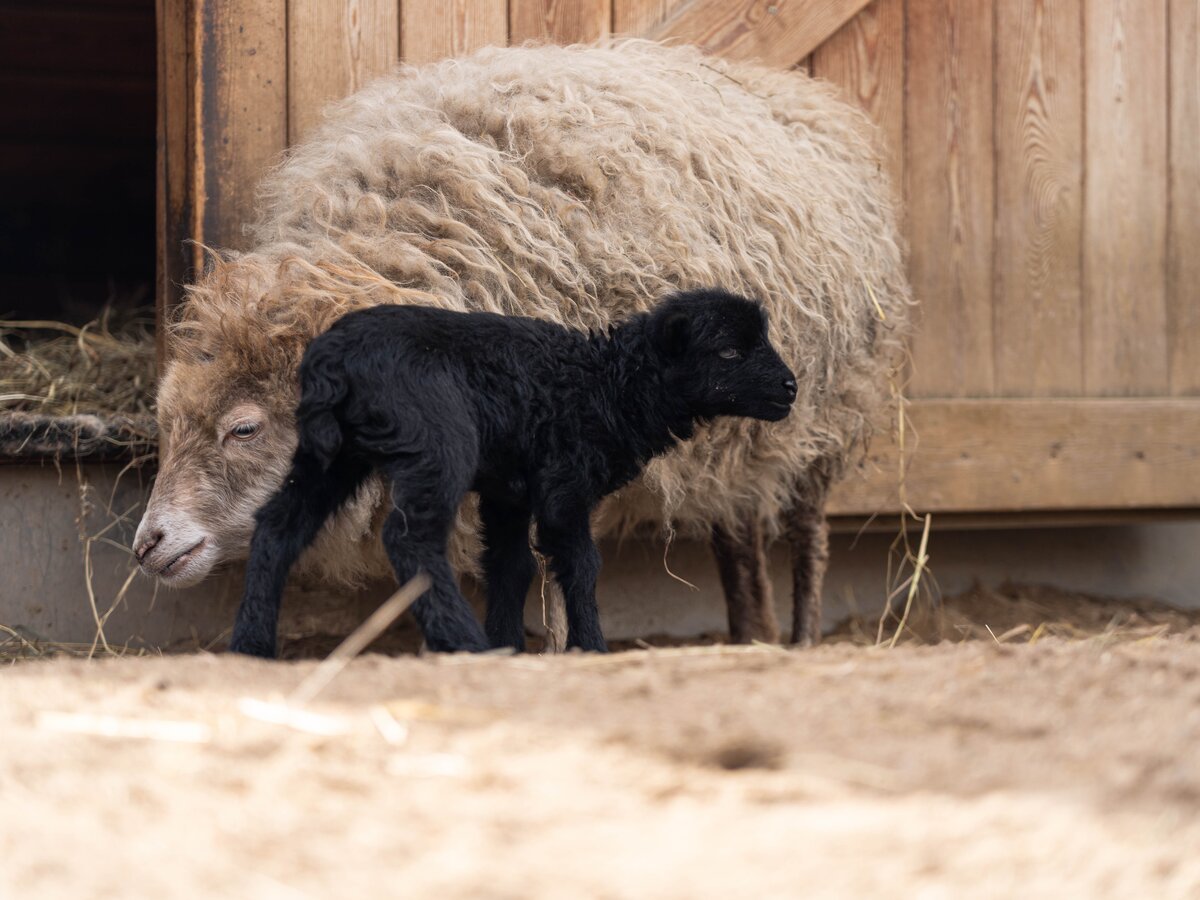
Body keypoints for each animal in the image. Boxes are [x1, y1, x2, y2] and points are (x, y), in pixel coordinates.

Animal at [230, 292, 801, 657]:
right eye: (729, 350)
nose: (791, 387)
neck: (608, 386)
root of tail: (331, 360)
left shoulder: (510, 492)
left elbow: (511, 565)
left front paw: (510, 641)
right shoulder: (562, 484)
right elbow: (581, 564)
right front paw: (590, 646)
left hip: (328, 452)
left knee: (278, 526)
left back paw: (251, 645)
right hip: (437, 443)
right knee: (409, 538)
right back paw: (463, 641)